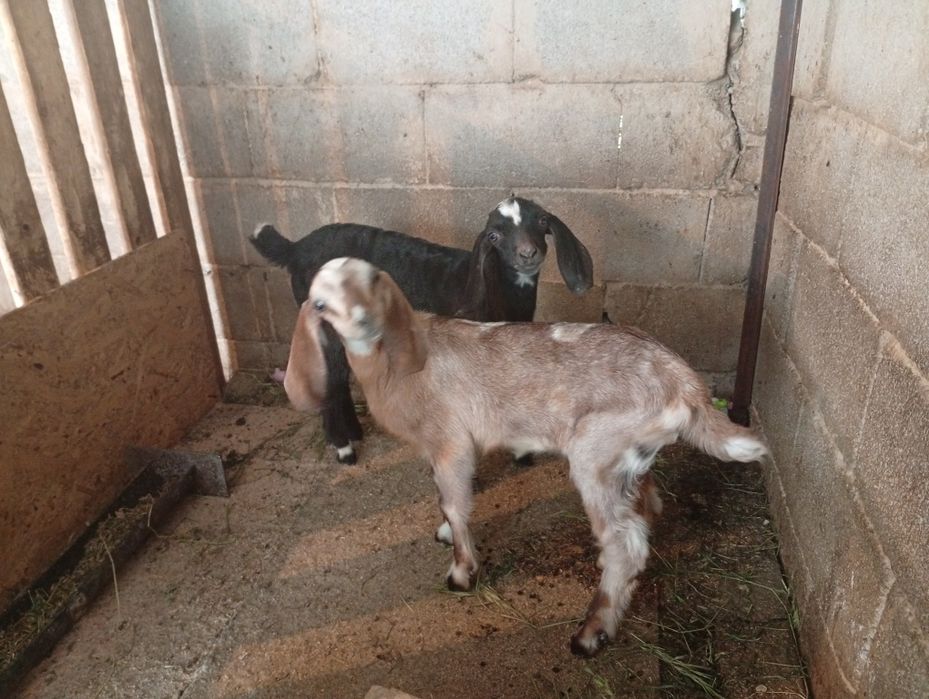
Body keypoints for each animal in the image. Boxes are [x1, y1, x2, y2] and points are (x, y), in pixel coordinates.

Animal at [250, 196, 593, 464]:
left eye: (542, 221)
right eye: (494, 236)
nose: (527, 254)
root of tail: (295, 249)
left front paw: (521, 451)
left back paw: (354, 434)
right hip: (326, 323)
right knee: (330, 378)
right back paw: (344, 449)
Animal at [283, 257, 769, 657]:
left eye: (374, 282)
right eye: (321, 304)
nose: (363, 321)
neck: (398, 363)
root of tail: (685, 385)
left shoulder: (450, 439)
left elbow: (454, 502)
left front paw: (461, 572)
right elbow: (445, 495)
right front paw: (444, 534)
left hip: (596, 451)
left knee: (625, 542)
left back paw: (591, 633)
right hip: (629, 455)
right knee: (647, 508)